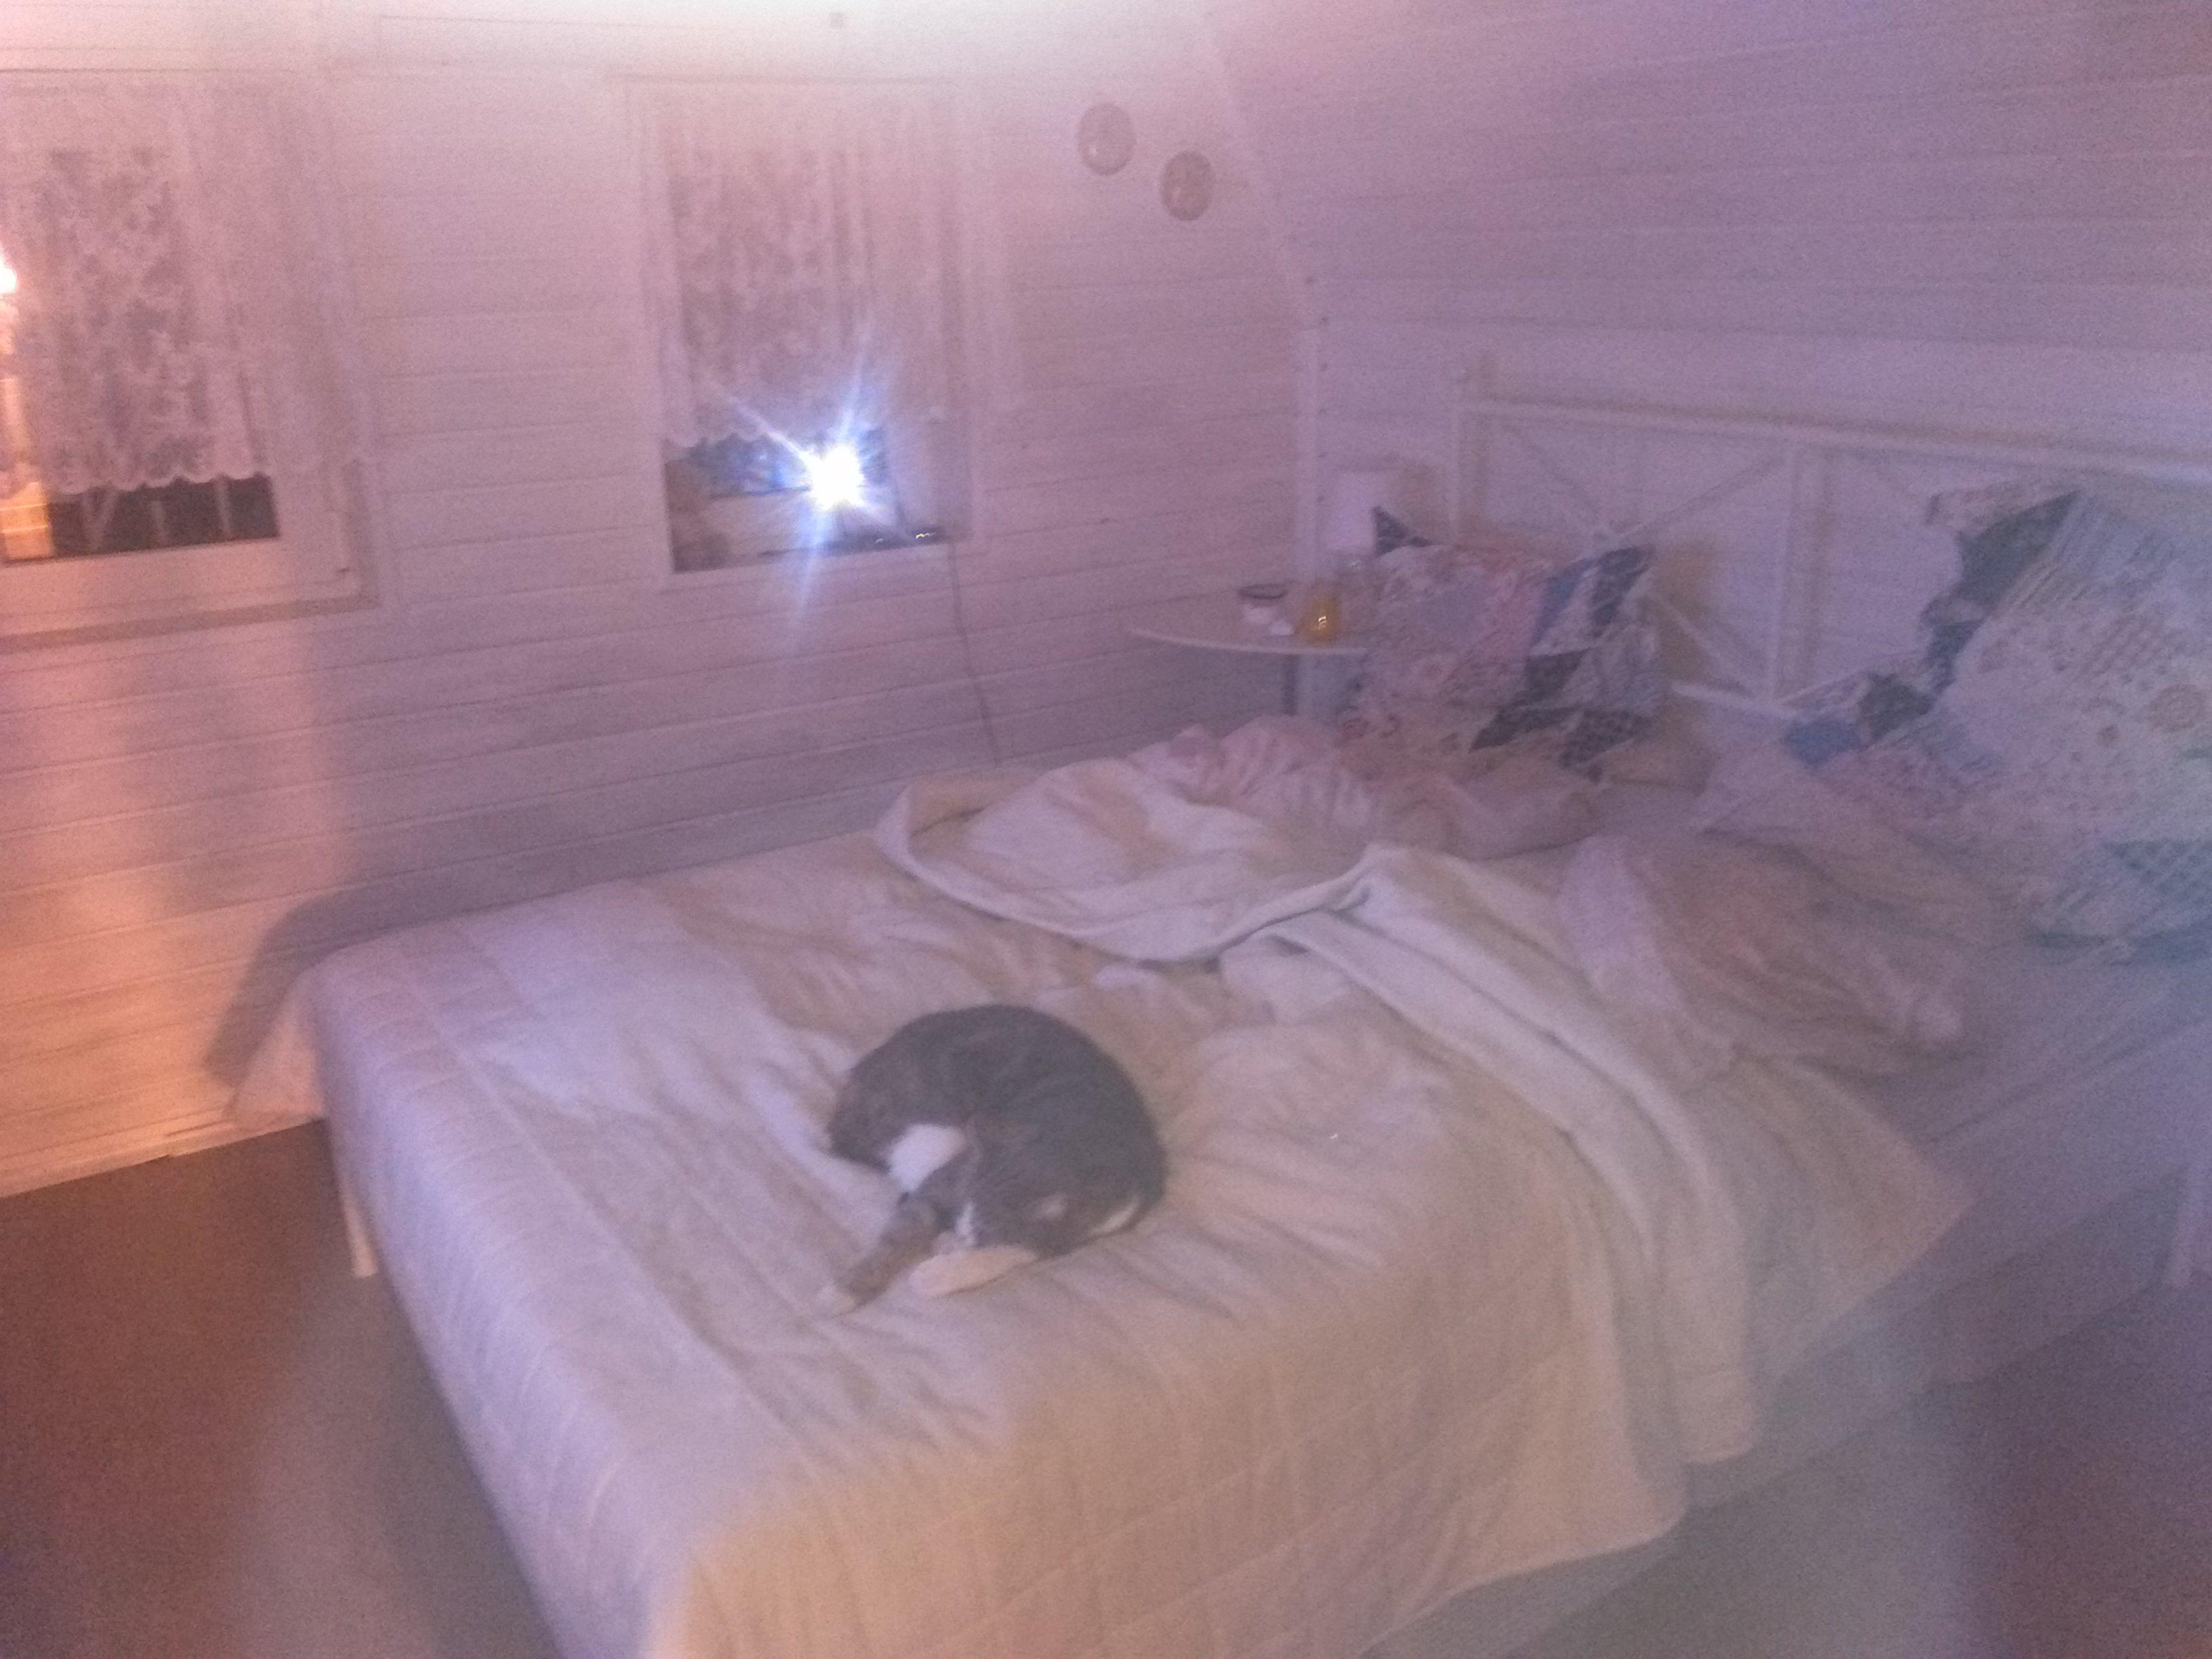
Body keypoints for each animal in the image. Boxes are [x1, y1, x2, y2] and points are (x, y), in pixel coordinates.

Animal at [819, 1004, 1167, 1313]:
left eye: (984, 1234)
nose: (964, 1236)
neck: (1080, 1137)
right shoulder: (947, 1182)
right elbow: (899, 1235)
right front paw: (844, 1291)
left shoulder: (1100, 1219)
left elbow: (1020, 1249)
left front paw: (943, 1269)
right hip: (931, 1130)